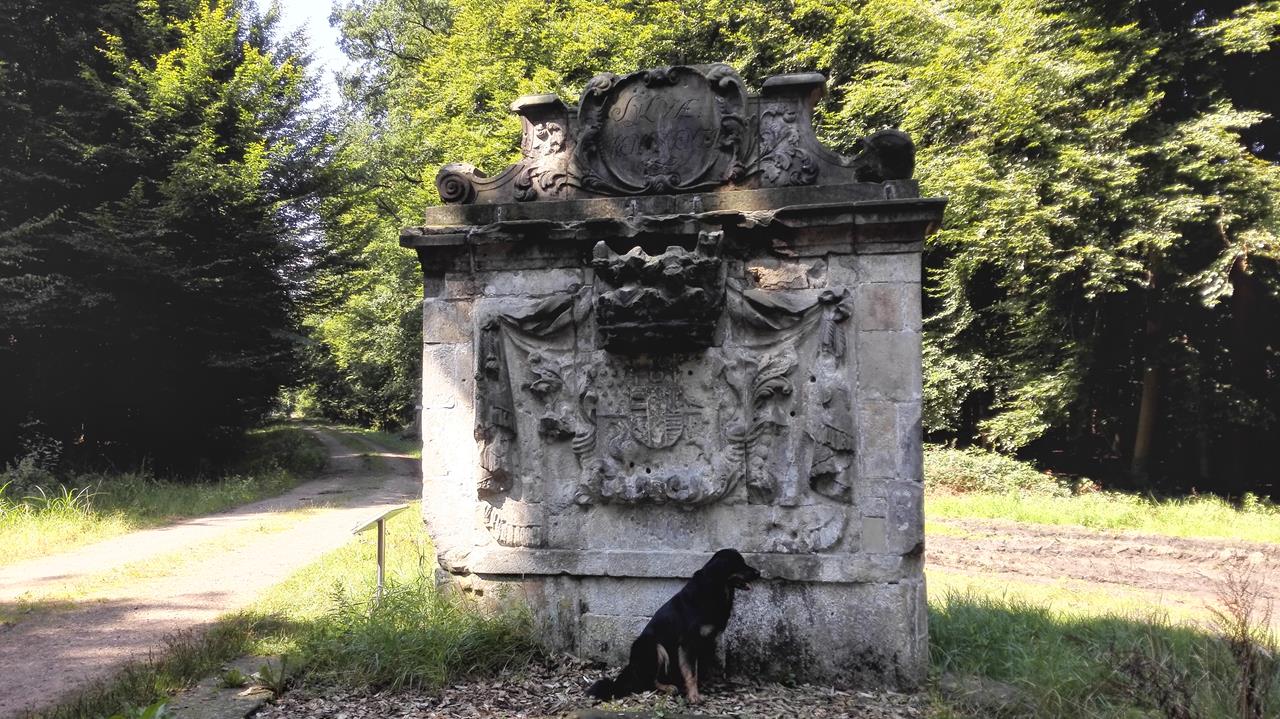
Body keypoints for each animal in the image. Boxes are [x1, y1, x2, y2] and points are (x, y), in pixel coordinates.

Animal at [586, 548, 760, 704]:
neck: (714, 588)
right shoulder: (688, 643)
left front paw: (706, 685)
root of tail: (632, 668)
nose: (759, 573)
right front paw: (694, 696)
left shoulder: (708, 640)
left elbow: (702, 669)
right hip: (653, 646)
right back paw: (668, 687)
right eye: (739, 564)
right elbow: (692, 673)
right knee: (648, 681)